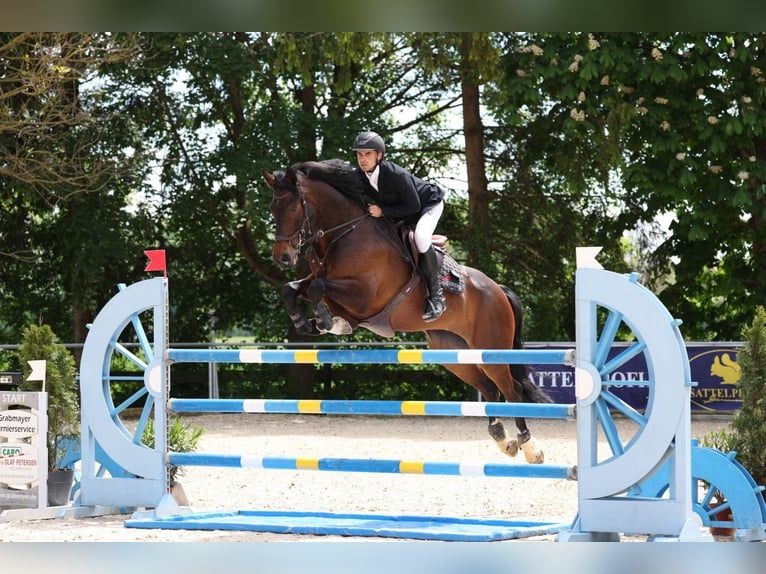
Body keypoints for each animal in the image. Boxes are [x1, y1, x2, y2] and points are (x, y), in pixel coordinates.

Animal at [264, 160, 552, 466]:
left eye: (292, 207)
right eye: (272, 208)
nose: (282, 258)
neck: (344, 234)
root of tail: (498, 290)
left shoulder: (364, 295)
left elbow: (319, 288)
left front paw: (328, 321)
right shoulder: (326, 285)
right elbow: (292, 288)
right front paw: (307, 322)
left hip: (491, 347)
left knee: (512, 389)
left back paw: (529, 446)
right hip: (455, 352)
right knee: (489, 388)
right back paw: (503, 440)